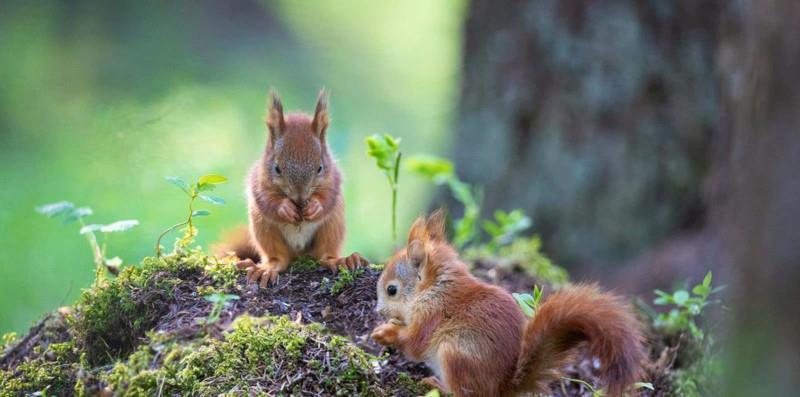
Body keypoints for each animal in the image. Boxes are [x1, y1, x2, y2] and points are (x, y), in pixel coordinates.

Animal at [231, 91, 368, 286]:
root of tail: (299, 253)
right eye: (277, 168)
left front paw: (315, 207)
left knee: (324, 254)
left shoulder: (333, 179)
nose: (300, 198)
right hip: (263, 227)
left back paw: (340, 260)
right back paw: (267, 268)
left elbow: (328, 197)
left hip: (333, 225)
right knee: (278, 257)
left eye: (320, 168)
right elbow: (266, 199)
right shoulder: (259, 181)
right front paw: (285, 208)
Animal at [372, 210, 648, 396]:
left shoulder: (432, 315)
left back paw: (437, 385)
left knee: (465, 394)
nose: (379, 310)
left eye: (391, 290)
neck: (434, 289)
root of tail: (503, 388)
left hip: (455, 353)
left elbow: (414, 344)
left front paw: (386, 333)